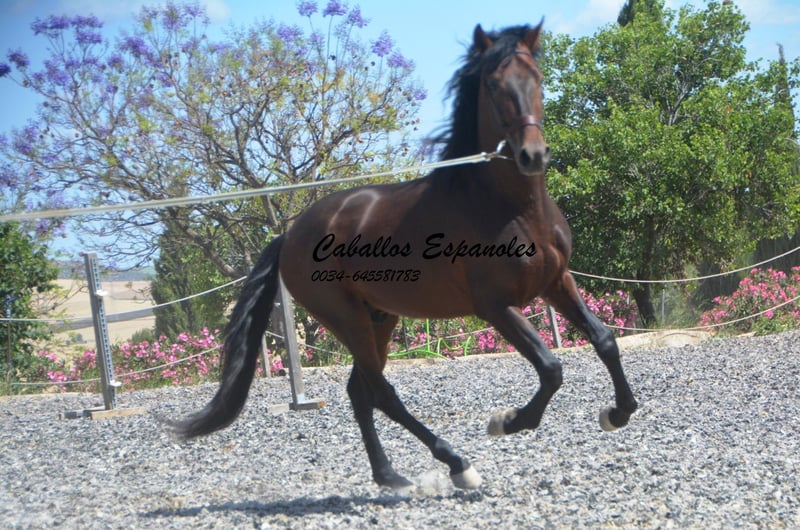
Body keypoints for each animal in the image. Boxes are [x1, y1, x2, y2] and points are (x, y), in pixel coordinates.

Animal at [169, 21, 638, 492]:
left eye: (537, 78)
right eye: (492, 84)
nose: (532, 155)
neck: (513, 209)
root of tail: (290, 235)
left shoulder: (557, 282)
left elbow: (605, 340)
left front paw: (616, 414)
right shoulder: (494, 307)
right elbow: (551, 367)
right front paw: (506, 422)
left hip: (379, 318)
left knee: (360, 392)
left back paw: (389, 475)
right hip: (347, 320)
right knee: (382, 393)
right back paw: (457, 464)